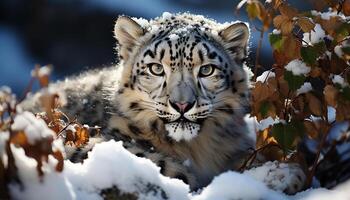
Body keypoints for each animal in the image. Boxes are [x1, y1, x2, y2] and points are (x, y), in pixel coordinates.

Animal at [22, 12, 306, 194]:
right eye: (156, 68)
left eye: (206, 70)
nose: (182, 105)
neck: (196, 149)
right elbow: (157, 162)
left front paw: (283, 174)